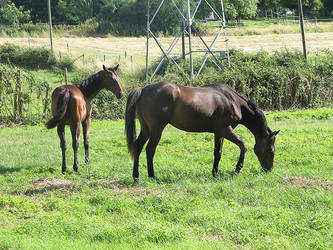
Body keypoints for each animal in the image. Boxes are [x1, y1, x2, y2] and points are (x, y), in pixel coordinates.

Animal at [124, 82, 278, 180]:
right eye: (271, 150)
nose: (269, 170)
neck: (233, 101)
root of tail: (143, 89)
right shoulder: (225, 129)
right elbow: (243, 146)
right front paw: (237, 170)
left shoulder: (219, 133)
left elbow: (218, 153)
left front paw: (215, 174)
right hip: (157, 129)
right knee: (150, 150)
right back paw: (152, 176)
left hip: (146, 129)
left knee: (138, 148)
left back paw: (136, 176)